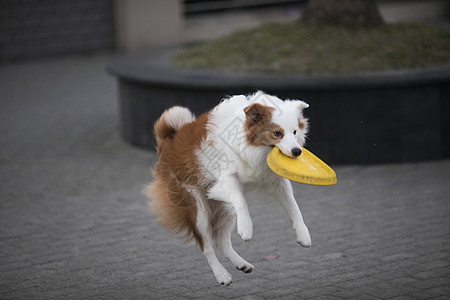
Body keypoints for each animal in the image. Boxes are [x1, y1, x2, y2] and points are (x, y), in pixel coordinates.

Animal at [146, 91, 312, 286]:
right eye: (277, 133)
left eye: (295, 131)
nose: (297, 151)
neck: (252, 146)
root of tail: (168, 143)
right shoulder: (226, 179)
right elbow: (241, 201)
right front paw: (247, 228)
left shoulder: (275, 181)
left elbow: (293, 206)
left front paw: (303, 233)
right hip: (197, 209)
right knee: (206, 245)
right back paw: (221, 274)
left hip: (223, 209)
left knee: (221, 240)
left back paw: (241, 264)